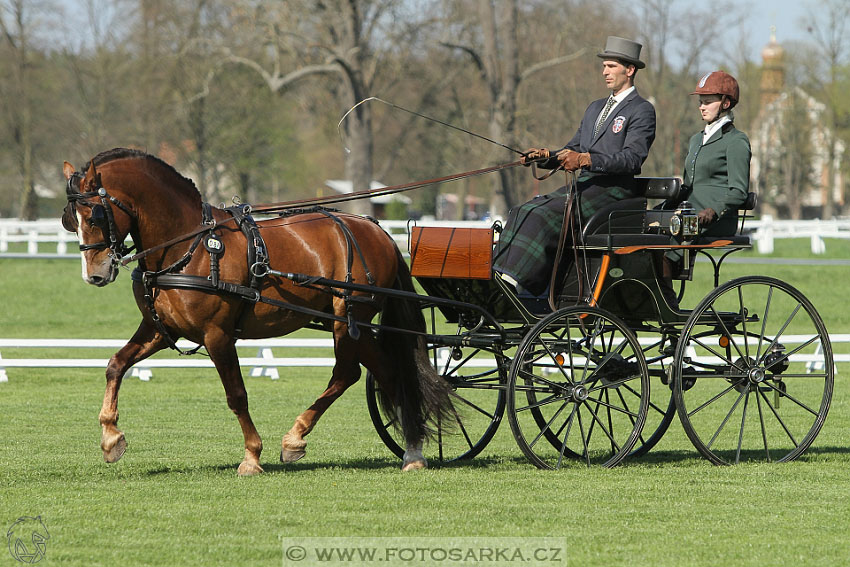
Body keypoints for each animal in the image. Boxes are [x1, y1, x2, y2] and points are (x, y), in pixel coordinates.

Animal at [63, 150, 454, 474]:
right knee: (383, 372)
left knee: (349, 373)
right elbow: (116, 365)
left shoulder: (217, 335)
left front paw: (251, 456)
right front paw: (111, 438)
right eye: (70, 220)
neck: (189, 245)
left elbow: (236, 395)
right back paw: (410, 450)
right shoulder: (161, 330)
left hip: (349, 318)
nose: (94, 274)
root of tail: (375, 230)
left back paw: (307, 439)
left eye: (95, 216)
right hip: (347, 321)